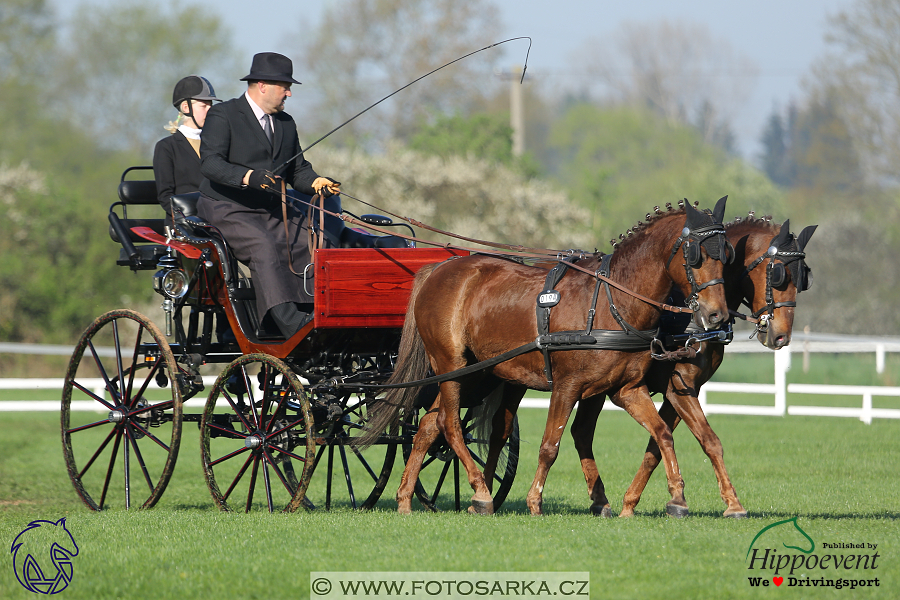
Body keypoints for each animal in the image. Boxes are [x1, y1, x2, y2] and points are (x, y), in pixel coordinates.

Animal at [364, 198, 732, 516]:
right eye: (695, 255)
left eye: (725, 255)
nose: (717, 316)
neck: (612, 302)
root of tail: (438, 269)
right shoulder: (567, 386)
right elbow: (549, 446)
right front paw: (534, 501)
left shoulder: (626, 390)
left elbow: (663, 434)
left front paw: (678, 498)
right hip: (453, 365)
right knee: (449, 423)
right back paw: (481, 492)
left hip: (474, 373)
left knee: (428, 425)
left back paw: (406, 498)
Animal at [568, 218, 816, 516]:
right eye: (778, 274)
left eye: (802, 276)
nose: (781, 336)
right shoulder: (678, 388)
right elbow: (709, 440)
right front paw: (730, 503)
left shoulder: (683, 392)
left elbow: (654, 447)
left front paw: (636, 502)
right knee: (581, 432)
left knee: (581, 432)